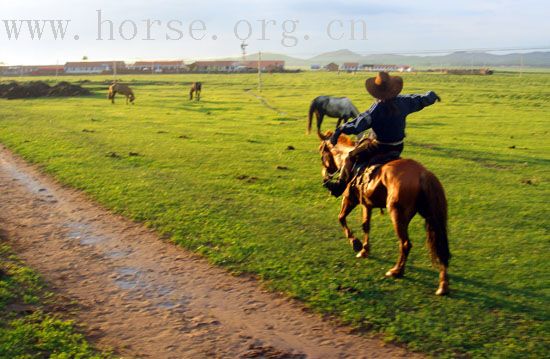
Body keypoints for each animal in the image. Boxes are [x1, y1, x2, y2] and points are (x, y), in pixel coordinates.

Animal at [320, 131, 452, 296]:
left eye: (321, 154)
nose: (326, 175)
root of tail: (423, 173)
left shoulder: (349, 199)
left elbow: (341, 218)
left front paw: (356, 243)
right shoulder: (367, 204)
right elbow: (366, 226)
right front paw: (364, 250)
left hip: (397, 215)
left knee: (406, 244)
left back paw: (397, 271)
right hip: (432, 217)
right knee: (440, 246)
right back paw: (443, 285)